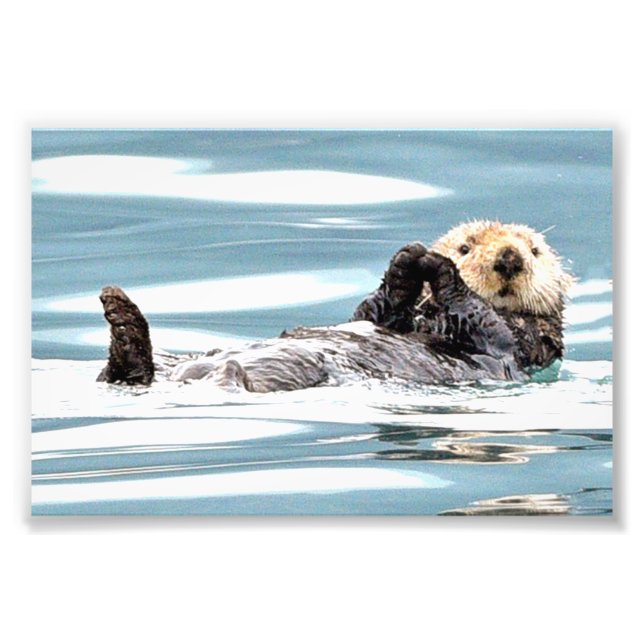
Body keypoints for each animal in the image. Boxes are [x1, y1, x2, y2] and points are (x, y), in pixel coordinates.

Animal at [97, 220, 574, 392]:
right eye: (466, 246)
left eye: (534, 251)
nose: (509, 258)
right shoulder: (381, 315)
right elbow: (372, 312)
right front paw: (406, 264)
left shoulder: (520, 346)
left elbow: (484, 322)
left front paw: (438, 270)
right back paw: (119, 315)